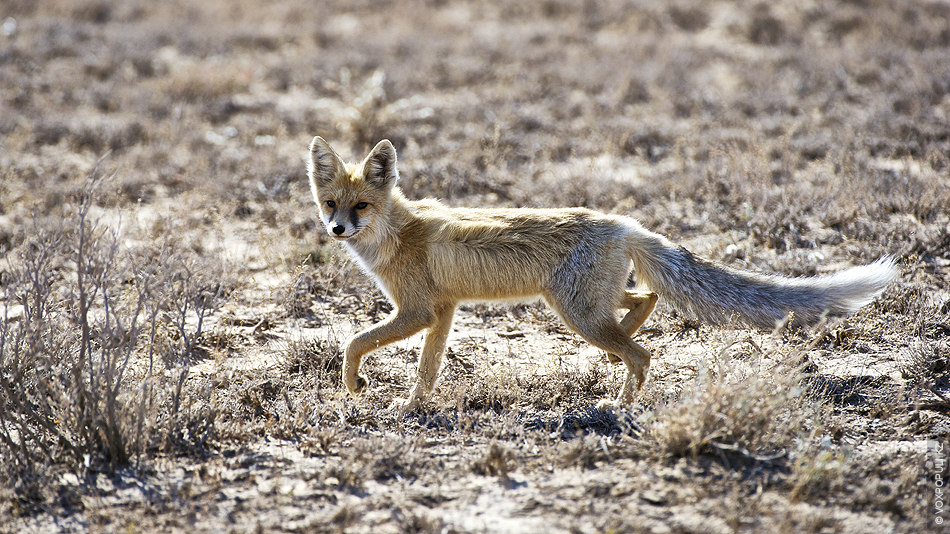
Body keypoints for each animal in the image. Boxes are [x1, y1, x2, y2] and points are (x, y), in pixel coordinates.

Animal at [306, 138, 900, 410]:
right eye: (332, 203)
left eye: (361, 206)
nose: (337, 229)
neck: (397, 234)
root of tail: (624, 222)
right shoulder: (443, 310)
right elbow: (427, 367)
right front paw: (413, 405)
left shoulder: (417, 310)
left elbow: (354, 342)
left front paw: (355, 388)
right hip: (587, 306)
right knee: (644, 303)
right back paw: (625, 353)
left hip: (576, 315)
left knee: (644, 353)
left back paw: (620, 404)